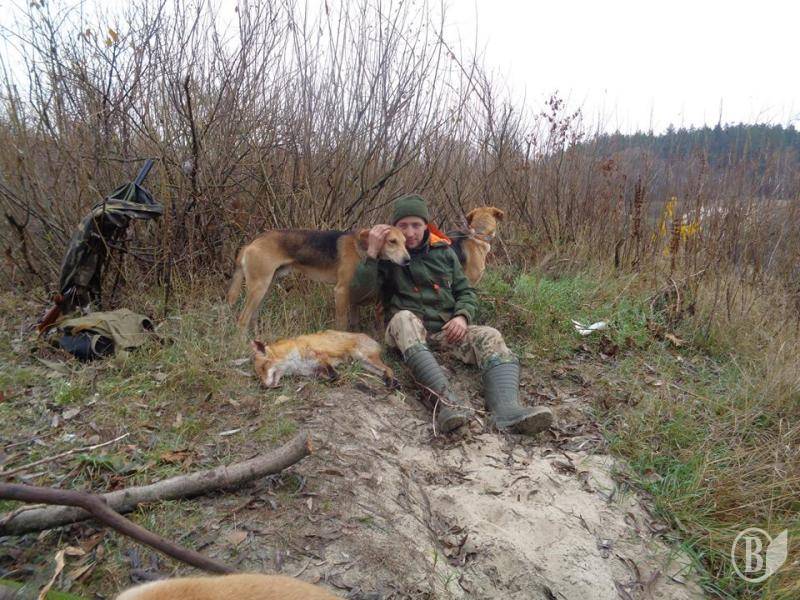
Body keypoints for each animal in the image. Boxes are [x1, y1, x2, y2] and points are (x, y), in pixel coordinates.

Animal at [227, 228, 409, 330]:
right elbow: (342, 324)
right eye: (392, 241)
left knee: (252, 317)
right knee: (242, 320)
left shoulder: (352, 296)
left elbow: (353, 323)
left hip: (265, 288)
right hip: (259, 288)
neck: (362, 246)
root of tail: (252, 243)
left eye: (405, 242)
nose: (408, 260)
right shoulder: (341, 291)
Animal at [252, 329, 395, 388]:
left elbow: (332, 373)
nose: (263, 386)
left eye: (264, 367)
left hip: (363, 356)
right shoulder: (313, 371)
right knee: (383, 371)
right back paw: (390, 381)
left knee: (389, 369)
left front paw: (337, 378)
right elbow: (324, 376)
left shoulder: (320, 356)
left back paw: (392, 381)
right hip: (362, 364)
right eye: (258, 376)